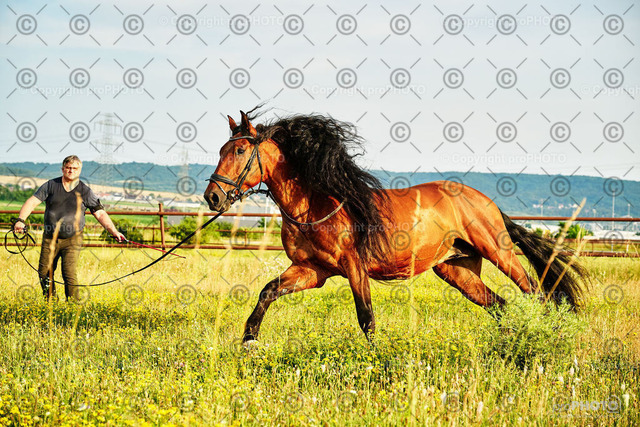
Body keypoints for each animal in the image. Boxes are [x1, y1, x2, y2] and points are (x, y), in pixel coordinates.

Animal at [204, 110, 588, 344]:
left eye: (239, 151)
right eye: (222, 149)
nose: (212, 196)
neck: (314, 204)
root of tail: (486, 202)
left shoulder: (353, 266)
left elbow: (366, 317)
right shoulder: (312, 270)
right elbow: (268, 291)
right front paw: (249, 340)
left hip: (498, 252)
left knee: (535, 293)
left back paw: (546, 335)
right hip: (457, 270)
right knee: (500, 304)